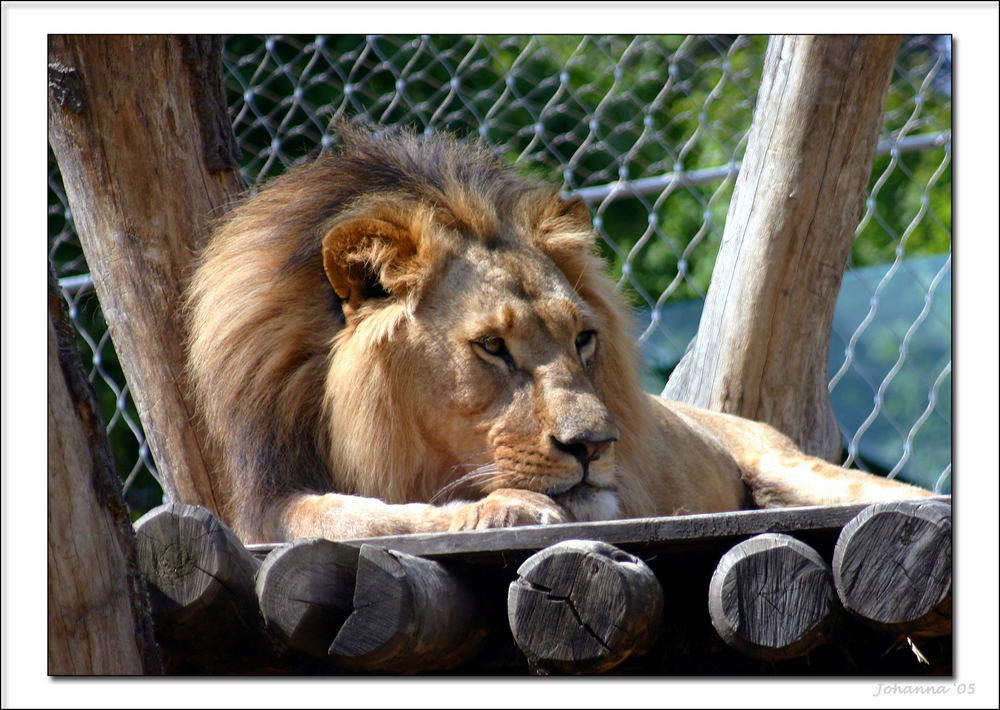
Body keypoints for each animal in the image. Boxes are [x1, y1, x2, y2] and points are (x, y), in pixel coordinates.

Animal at [184, 122, 932, 544]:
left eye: (583, 340)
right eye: (492, 347)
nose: (597, 446)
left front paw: (509, 506)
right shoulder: (267, 500)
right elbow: (353, 515)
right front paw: (503, 508)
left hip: (790, 465)